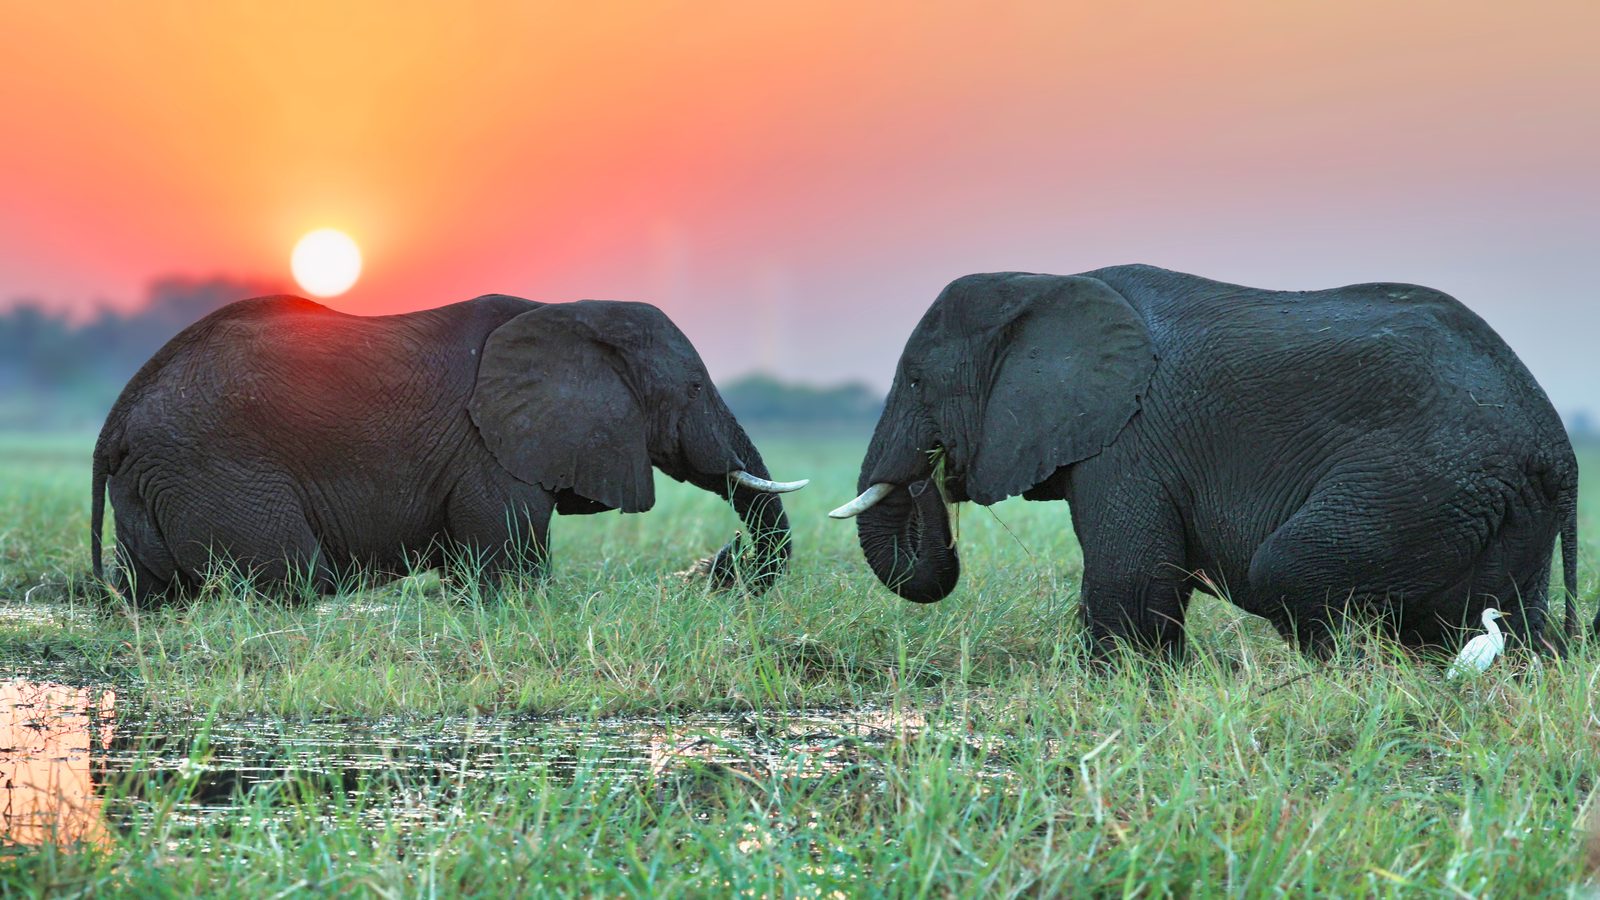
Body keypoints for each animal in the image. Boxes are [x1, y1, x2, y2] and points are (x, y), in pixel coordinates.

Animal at [91, 293, 807, 607]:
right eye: (694, 387)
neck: (571, 313)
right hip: (216, 473)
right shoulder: (488, 450)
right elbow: (513, 575)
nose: (721, 561)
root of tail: (117, 418)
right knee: (296, 581)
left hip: (157, 482)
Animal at [832, 265, 1581, 659]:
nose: (930, 472)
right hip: (1501, 507)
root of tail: (1557, 446)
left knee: (1291, 569)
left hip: (1424, 481)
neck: (1047, 284)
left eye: (918, 382)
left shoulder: (1130, 441)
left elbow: (1130, 578)